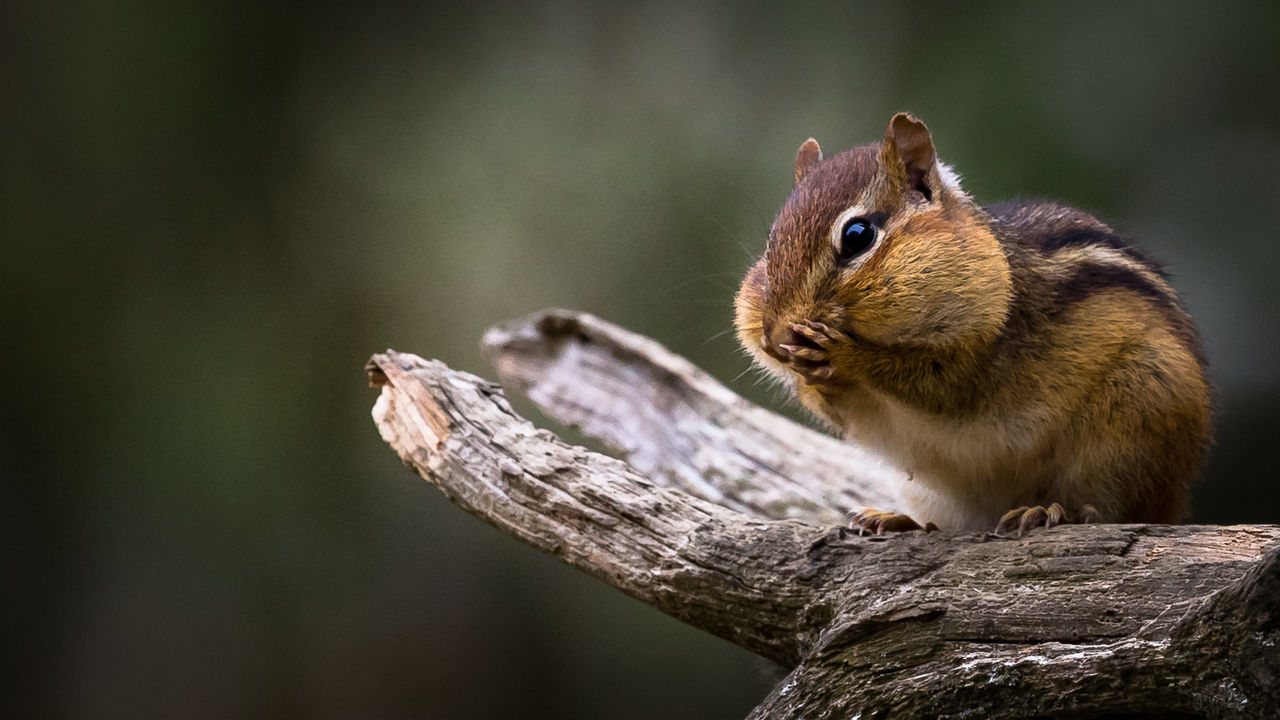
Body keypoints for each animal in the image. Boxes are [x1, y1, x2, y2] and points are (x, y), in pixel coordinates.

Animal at [737, 112, 1213, 532]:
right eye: (771, 244)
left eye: (858, 236)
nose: (774, 336)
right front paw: (808, 373)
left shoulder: (990, 349)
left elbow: (942, 383)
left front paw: (843, 353)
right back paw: (895, 520)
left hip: (1140, 414)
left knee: (1115, 510)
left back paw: (1052, 512)